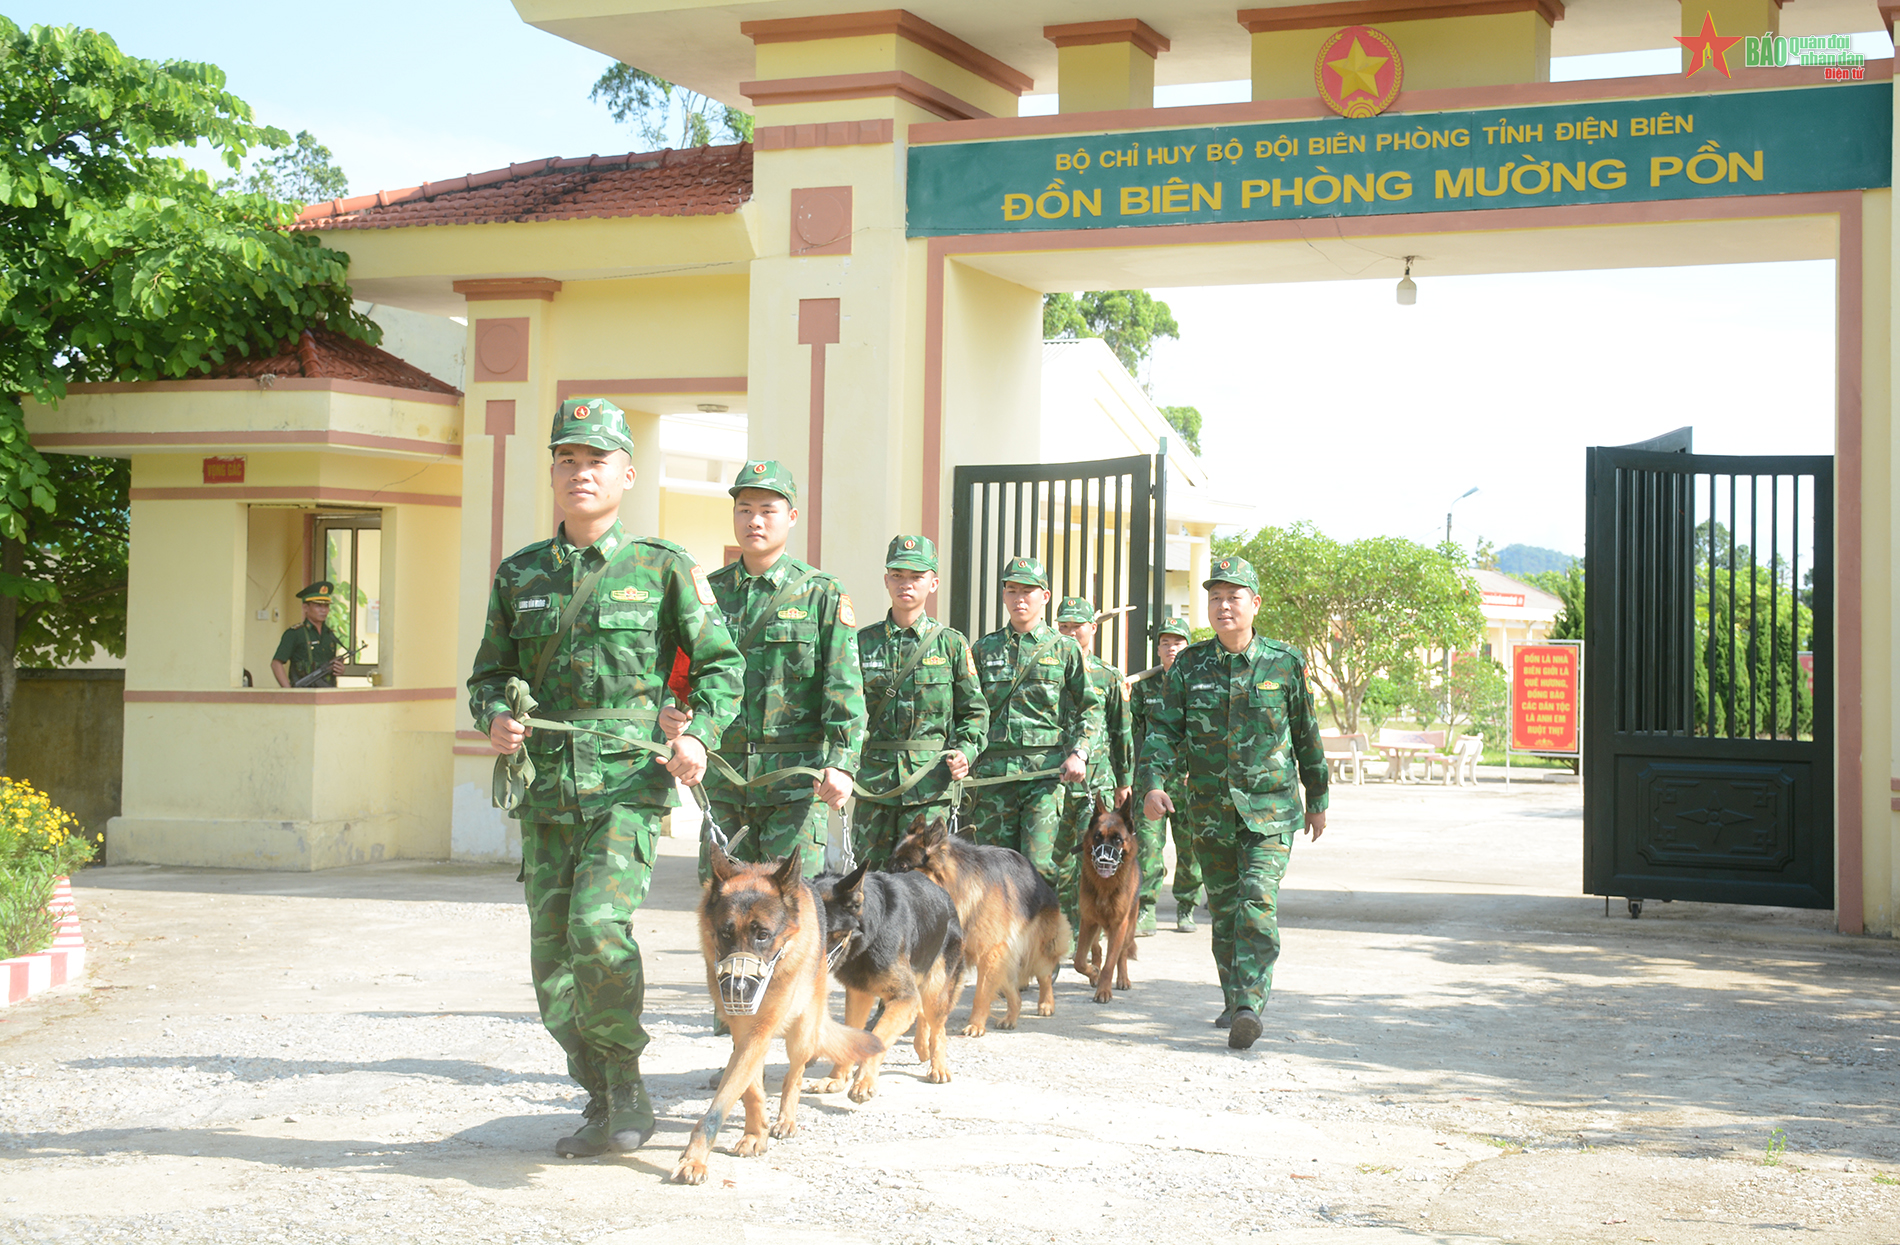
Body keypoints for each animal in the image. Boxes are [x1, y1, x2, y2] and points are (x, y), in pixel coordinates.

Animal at [672, 847, 885, 1186]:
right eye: (725, 933)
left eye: (763, 934)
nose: (735, 988)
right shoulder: (744, 1032)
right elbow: (749, 1089)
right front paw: (754, 1134)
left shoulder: (761, 1030)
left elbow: (723, 1101)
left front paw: (695, 1158)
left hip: (802, 1034)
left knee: (794, 1074)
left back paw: (786, 1118)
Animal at [889, 813, 1071, 1034]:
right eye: (890, 864)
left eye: (903, 867)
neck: (956, 888)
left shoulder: (990, 952)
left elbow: (981, 994)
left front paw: (975, 1025)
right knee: (1015, 993)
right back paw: (1010, 1017)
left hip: (1038, 949)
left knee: (1045, 976)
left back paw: (1046, 1003)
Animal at [1079, 798, 1132, 1003]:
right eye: (1097, 837)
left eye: (1118, 839)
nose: (1104, 860)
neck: (1104, 886)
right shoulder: (1087, 920)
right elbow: (1078, 961)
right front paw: (1094, 972)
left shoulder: (1119, 924)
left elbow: (1110, 963)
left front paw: (1104, 991)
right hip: (1096, 926)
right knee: (1097, 949)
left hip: (1128, 928)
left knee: (1122, 954)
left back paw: (1123, 978)